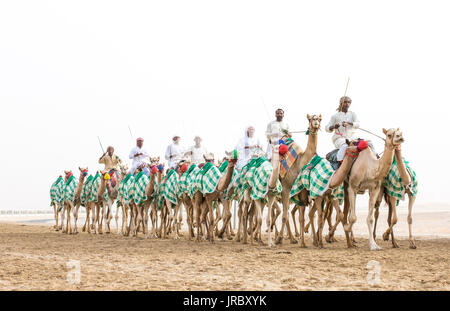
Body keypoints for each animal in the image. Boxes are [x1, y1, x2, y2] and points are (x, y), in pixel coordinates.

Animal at [276, 114, 322, 246]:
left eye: (320, 119)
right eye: (310, 119)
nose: (316, 122)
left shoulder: (302, 192)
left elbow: (303, 217)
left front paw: (304, 242)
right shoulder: (286, 188)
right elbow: (286, 216)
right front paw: (279, 239)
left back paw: (292, 238)